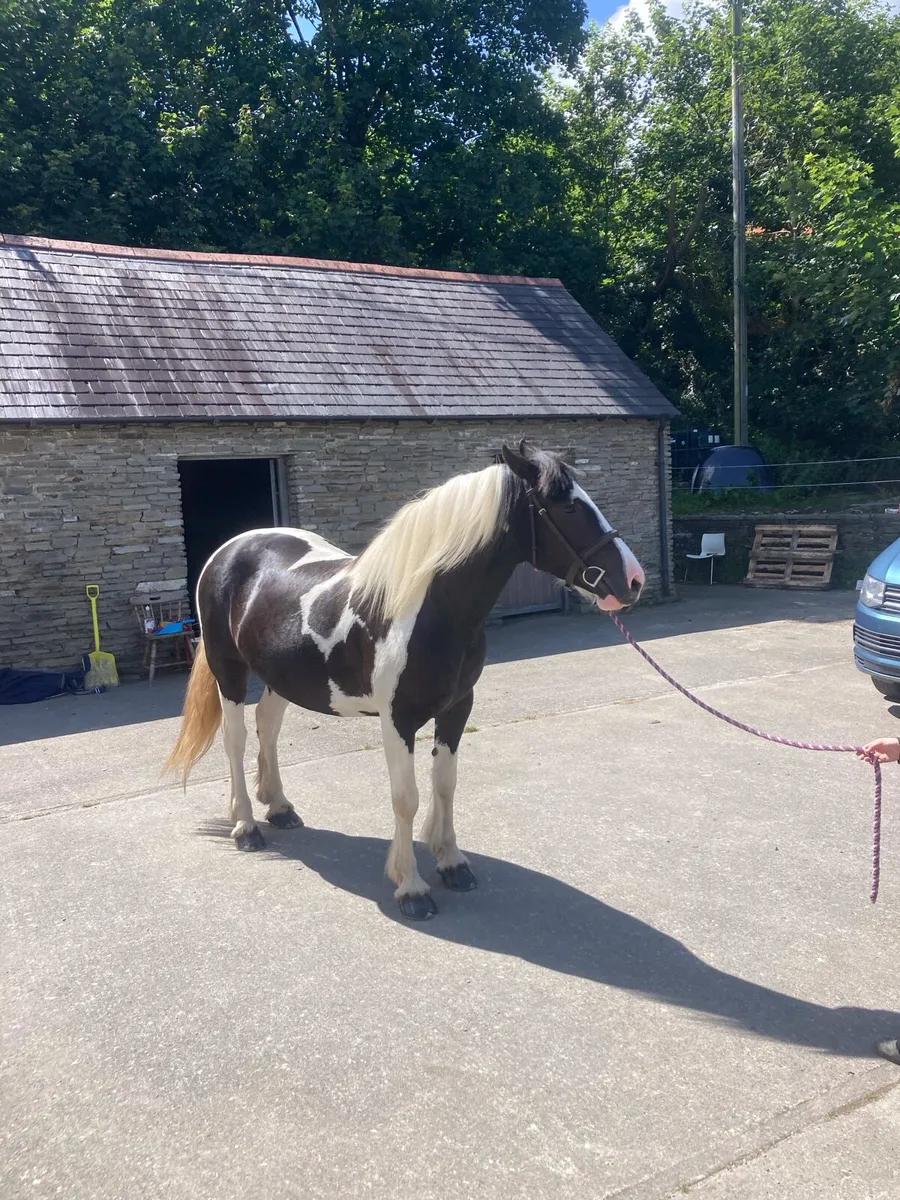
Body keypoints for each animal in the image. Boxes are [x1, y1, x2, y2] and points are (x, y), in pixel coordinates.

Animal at [167, 441, 645, 919]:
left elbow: (445, 784)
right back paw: (246, 826)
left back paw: (280, 807)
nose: (633, 580)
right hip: (229, 670)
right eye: (567, 507)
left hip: (281, 677)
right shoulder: (398, 719)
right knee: (235, 740)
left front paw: (452, 863)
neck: (429, 608)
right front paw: (411, 886)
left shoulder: (457, 708)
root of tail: (229, 550)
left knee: (267, 726)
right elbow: (406, 797)